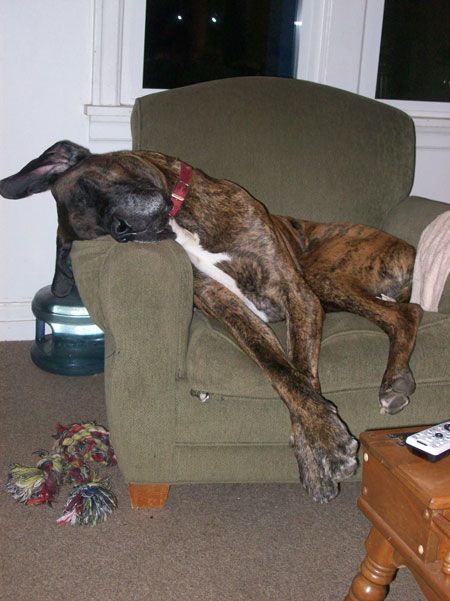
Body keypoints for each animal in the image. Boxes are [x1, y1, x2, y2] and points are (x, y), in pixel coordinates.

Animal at [0, 139, 424, 502]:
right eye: (100, 233)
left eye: (87, 187)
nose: (122, 229)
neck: (182, 220)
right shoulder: (229, 308)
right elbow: (282, 371)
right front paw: (317, 451)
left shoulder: (296, 294)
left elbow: (300, 373)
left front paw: (322, 448)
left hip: (323, 274)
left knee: (408, 312)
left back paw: (394, 382)